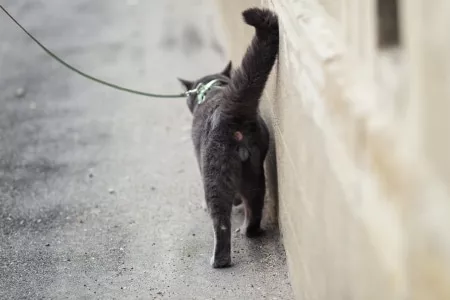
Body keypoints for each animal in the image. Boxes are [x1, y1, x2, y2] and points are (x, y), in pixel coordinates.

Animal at [178, 7, 278, 270]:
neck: (213, 90)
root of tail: (232, 112)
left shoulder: (199, 158)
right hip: (254, 169)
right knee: (255, 203)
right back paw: (249, 230)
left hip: (215, 172)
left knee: (221, 220)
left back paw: (219, 259)